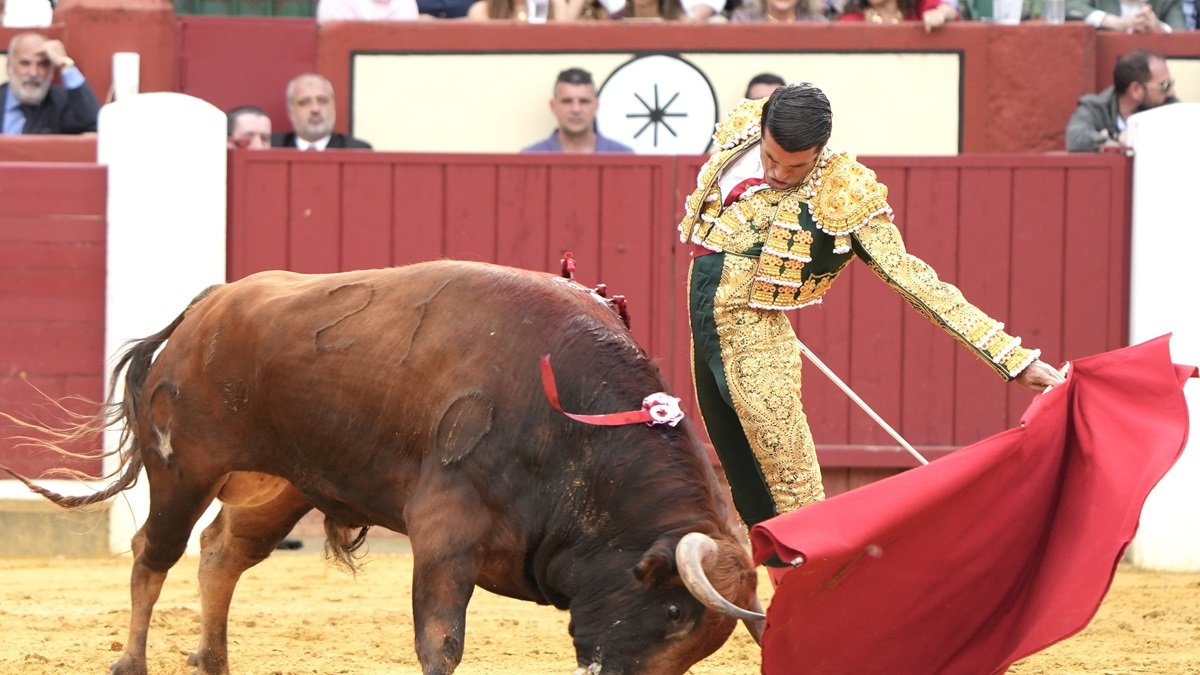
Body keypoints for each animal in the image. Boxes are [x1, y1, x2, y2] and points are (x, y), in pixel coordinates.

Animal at [2, 260, 758, 667]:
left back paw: (214, 660)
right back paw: (130, 661)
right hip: (182, 469)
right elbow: (441, 642)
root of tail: (210, 304)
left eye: (701, 644)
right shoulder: (445, 532)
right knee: (151, 554)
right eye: (671, 612)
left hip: (281, 486)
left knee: (220, 553)